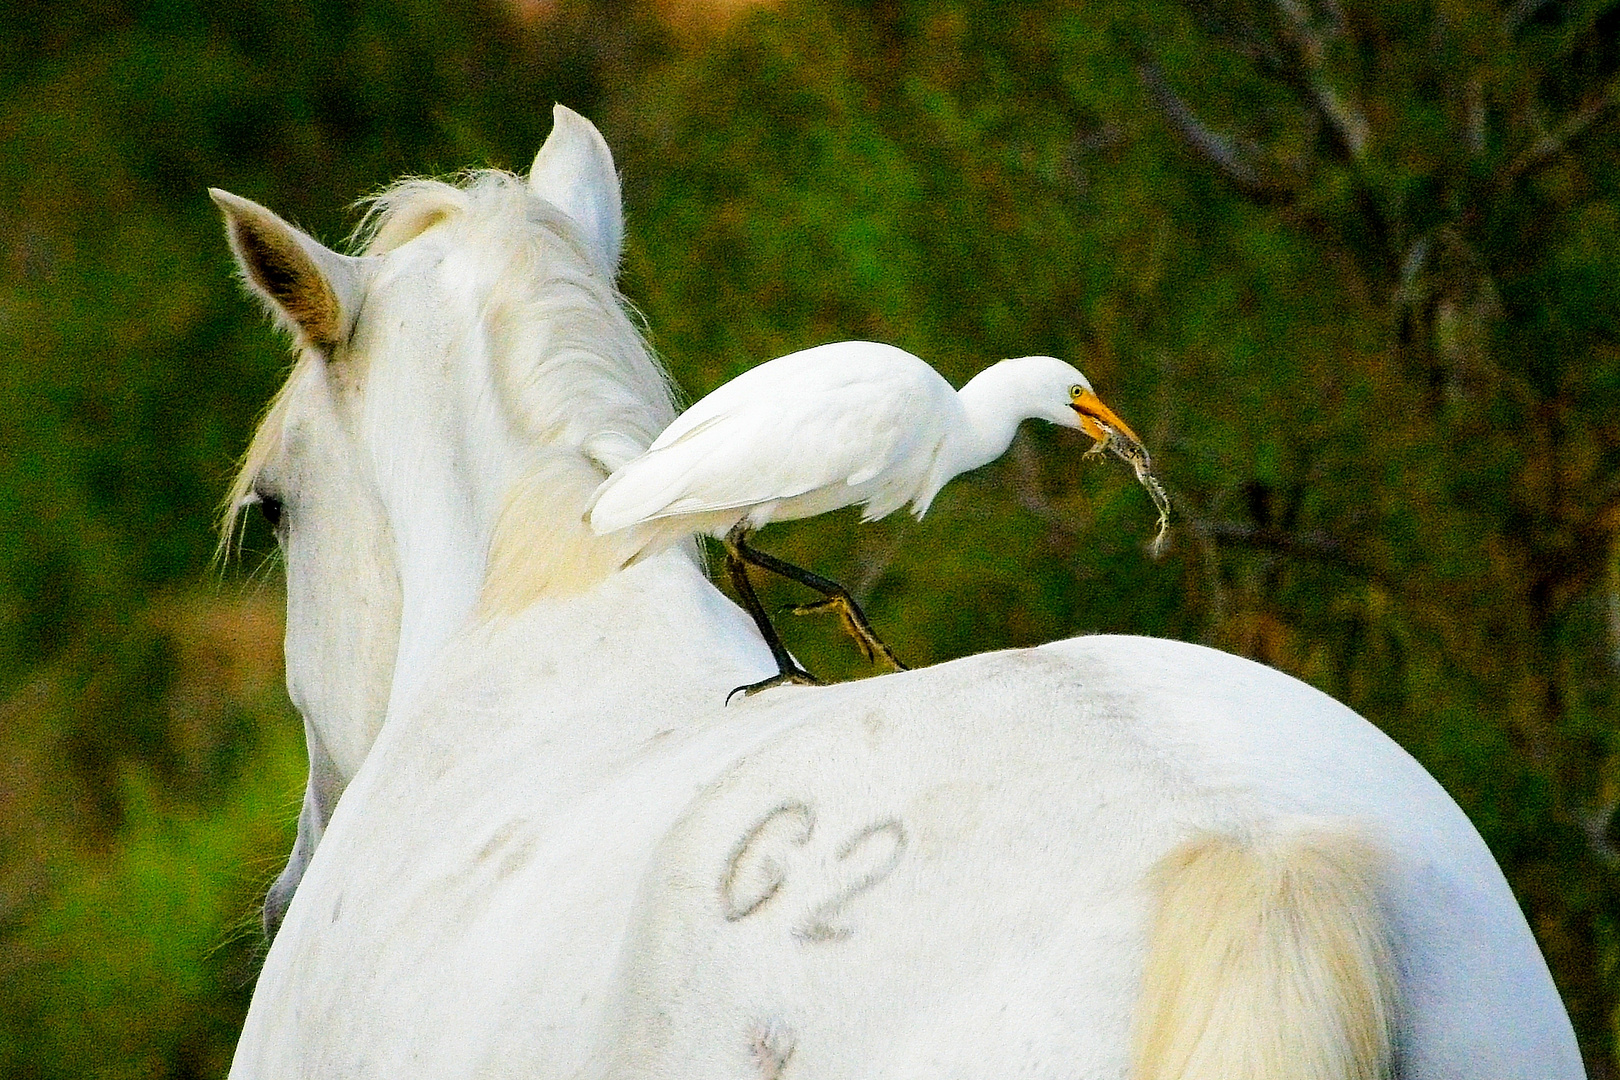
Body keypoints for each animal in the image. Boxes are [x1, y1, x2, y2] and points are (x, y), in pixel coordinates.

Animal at [215, 103, 1581, 1080]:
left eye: (273, 506)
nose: (283, 893)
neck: (534, 583)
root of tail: (1272, 868)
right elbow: (756, 557)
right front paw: (823, 644)